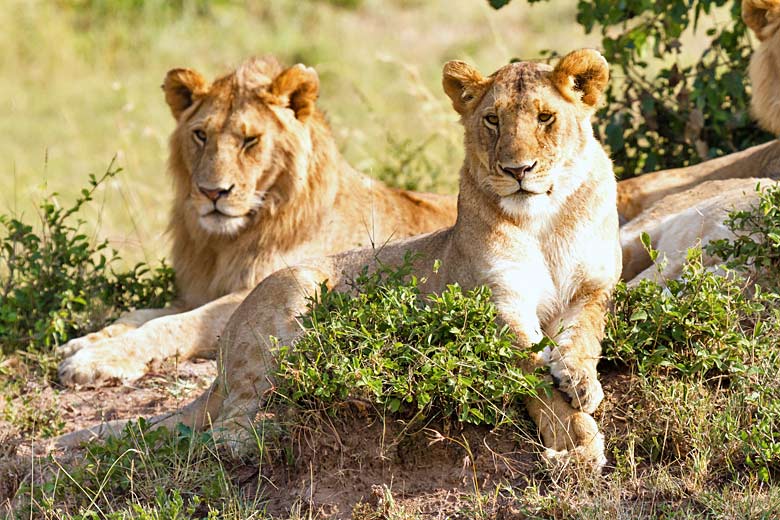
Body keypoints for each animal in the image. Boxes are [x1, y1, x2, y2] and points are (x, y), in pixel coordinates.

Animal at [58, 57, 458, 386]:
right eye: (200, 134)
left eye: (250, 140)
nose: (212, 192)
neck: (226, 242)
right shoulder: (199, 291)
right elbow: (140, 313)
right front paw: (82, 342)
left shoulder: (258, 293)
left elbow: (172, 325)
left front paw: (93, 360)